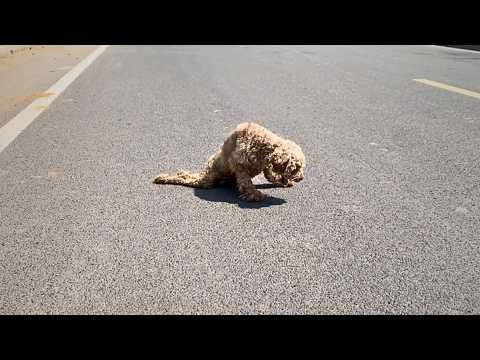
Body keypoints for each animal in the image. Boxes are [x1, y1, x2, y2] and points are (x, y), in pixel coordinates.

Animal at [152, 122, 306, 201]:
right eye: (297, 167)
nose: (301, 178)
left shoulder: (264, 164)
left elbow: (269, 173)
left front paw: (282, 181)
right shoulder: (239, 163)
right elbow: (246, 181)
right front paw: (255, 195)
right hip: (208, 178)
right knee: (190, 179)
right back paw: (165, 177)